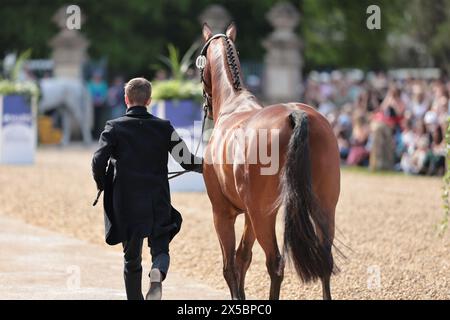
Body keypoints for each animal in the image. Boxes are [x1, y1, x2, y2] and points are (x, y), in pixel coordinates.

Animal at [200, 23, 342, 300]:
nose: (207, 107)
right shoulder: (248, 215)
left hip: (263, 214)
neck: (234, 105)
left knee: (275, 263)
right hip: (324, 206)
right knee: (325, 259)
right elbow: (243, 257)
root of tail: (295, 114)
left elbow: (229, 265)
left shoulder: (222, 212)